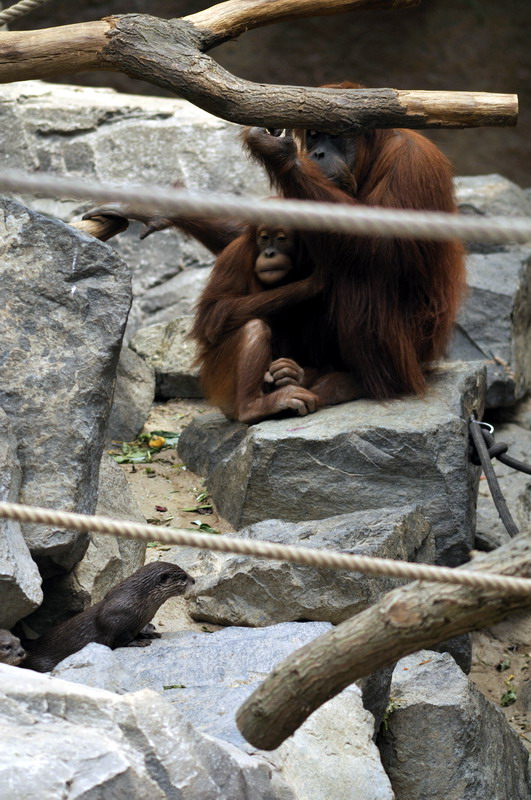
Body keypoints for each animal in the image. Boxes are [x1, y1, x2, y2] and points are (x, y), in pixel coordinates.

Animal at [23, 561, 195, 673]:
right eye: (183, 578)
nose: (194, 580)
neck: (139, 602)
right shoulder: (114, 619)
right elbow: (119, 639)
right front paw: (139, 641)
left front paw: (149, 633)